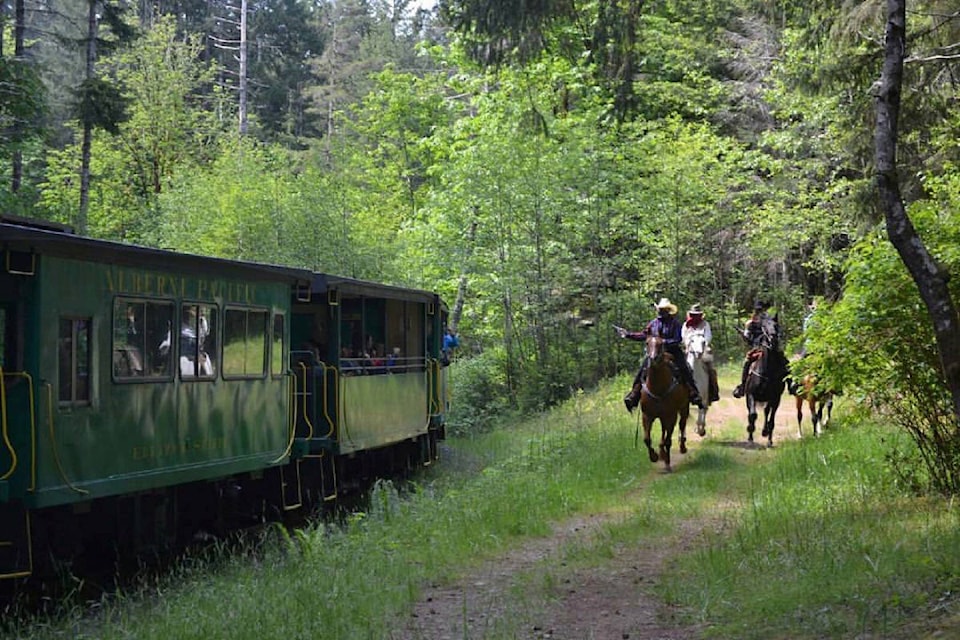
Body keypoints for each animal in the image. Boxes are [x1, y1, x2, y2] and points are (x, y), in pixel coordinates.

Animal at [632, 338, 688, 472]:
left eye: (661, 343)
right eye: (647, 343)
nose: (653, 358)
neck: (658, 389)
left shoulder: (671, 416)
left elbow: (668, 440)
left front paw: (667, 463)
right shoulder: (647, 416)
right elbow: (647, 439)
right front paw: (654, 456)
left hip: (684, 408)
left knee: (682, 425)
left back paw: (682, 447)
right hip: (662, 417)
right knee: (663, 431)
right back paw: (661, 452)